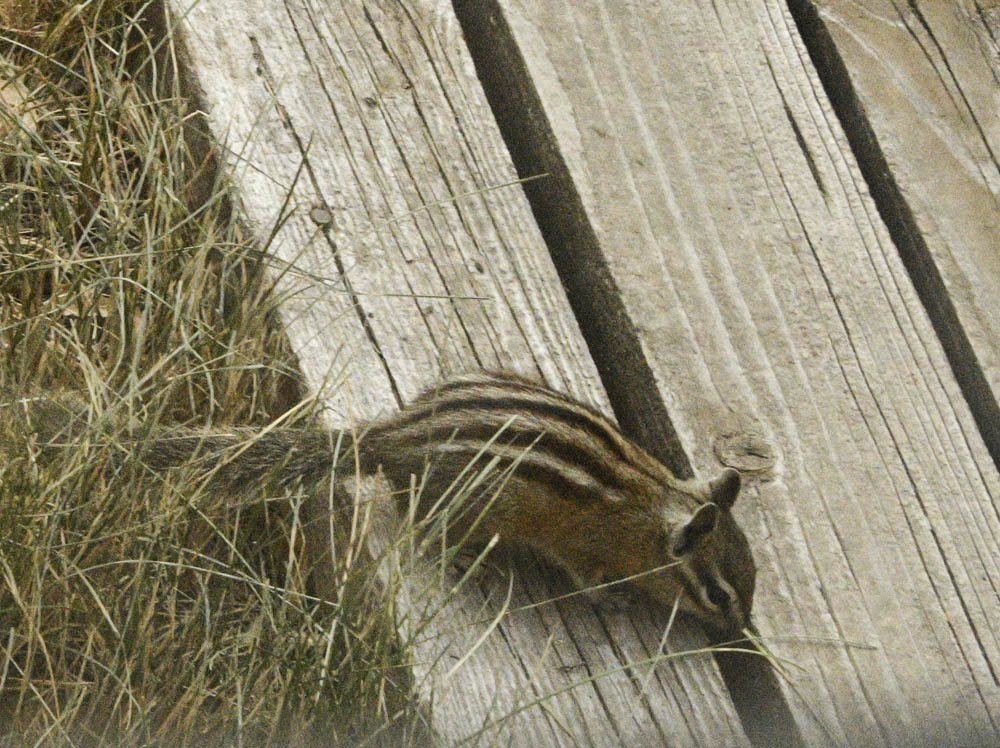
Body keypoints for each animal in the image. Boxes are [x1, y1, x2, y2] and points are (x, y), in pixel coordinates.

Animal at [10, 371, 756, 634]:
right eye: (721, 594)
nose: (743, 629)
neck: (654, 507)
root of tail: (393, 436)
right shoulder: (588, 543)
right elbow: (588, 576)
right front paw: (614, 599)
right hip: (473, 502)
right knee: (422, 523)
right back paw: (467, 561)